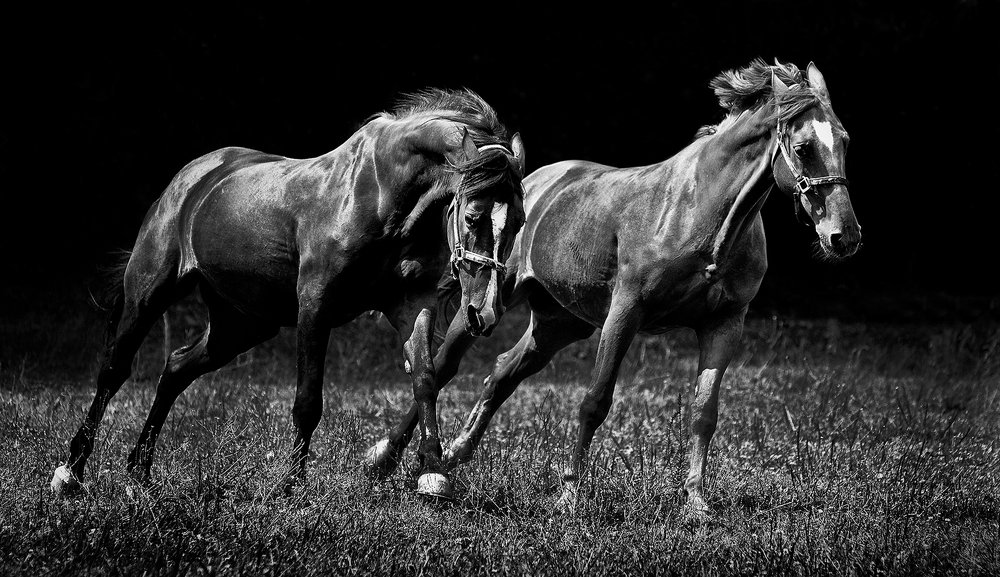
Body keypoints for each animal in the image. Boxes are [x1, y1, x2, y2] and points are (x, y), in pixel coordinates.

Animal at [50, 88, 527, 498]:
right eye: (472, 217)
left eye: (520, 221)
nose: (484, 311)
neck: (380, 194)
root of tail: (193, 177)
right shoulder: (315, 306)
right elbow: (308, 400)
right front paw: (290, 484)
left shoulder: (410, 307)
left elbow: (426, 379)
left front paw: (432, 473)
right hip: (150, 292)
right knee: (114, 370)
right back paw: (70, 472)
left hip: (240, 325)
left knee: (176, 368)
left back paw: (140, 470)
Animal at [363, 59, 861, 514]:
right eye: (803, 146)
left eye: (844, 141)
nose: (845, 236)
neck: (703, 213)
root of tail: (529, 181)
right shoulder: (625, 312)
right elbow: (595, 402)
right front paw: (569, 494)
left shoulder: (725, 324)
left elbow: (704, 412)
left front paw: (696, 501)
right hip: (486, 305)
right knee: (442, 368)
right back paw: (394, 460)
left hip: (559, 324)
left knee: (502, 372)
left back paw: (453, 453)